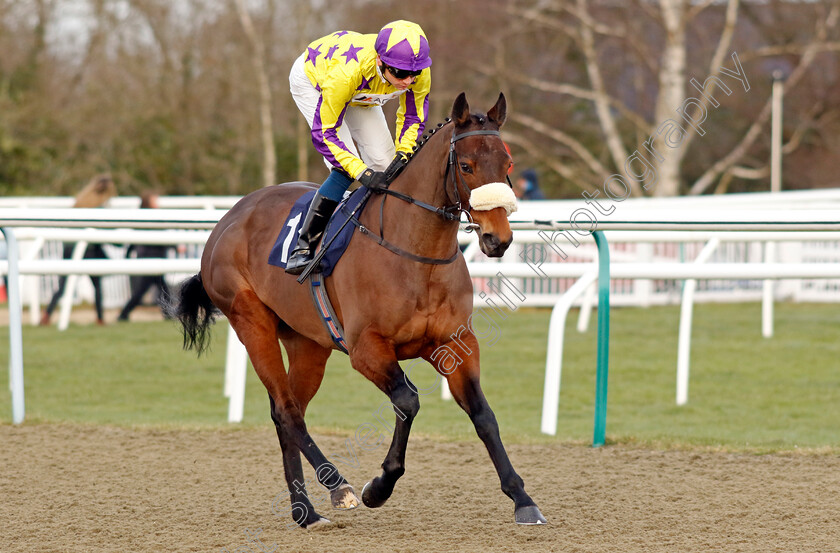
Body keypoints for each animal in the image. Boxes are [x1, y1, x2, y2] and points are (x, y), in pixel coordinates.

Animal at [174, 92, 548, 528]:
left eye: (507, 164)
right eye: (467, 165)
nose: (497, 238)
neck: (415, 254)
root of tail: (229, 219)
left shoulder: (456, 344)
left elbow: (483, 415)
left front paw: (522, 498)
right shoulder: (367, 349)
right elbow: (408, 401)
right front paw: (378, 487)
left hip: (307, 342)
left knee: (290, 410)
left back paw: (304, 510)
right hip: (251, 321)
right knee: (286, 410)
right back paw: (337, 487)